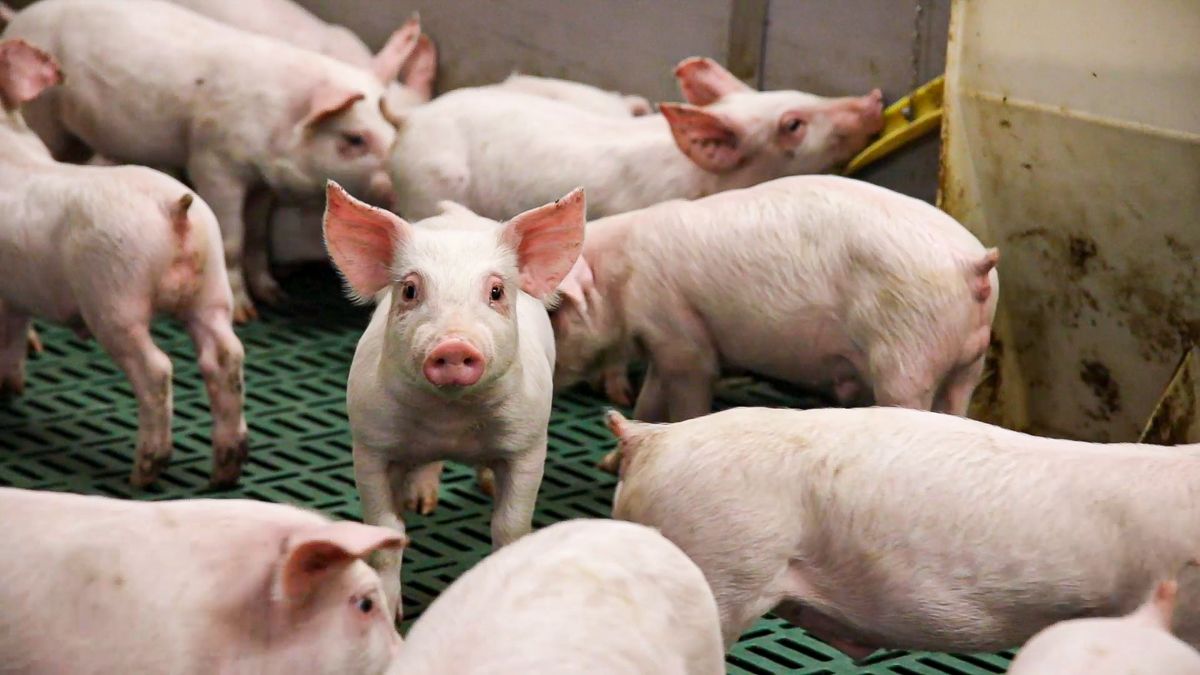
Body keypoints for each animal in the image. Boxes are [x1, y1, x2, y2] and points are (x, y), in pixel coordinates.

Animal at [0, 39, 246, 487]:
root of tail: (174, 210)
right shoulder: (16, 290)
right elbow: (14, 332)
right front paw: (10, 387)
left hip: (115, 296)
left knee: (156, 369)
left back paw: (143, 472)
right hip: (212, 287)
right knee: (225, 357)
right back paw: (225, 471)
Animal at [3, 0, 403, 322]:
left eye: (391, 126)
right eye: (354, 139)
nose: (393, 187)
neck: (275, 121)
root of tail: (22, 17)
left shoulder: (261, 185)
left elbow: (258, 235)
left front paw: (275, 296)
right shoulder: (214, 162)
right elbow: (233, 240)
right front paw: (246, 315)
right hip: (43, 116)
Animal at [322, 181, 585, 620]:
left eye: (496, 291)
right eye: (410, 290)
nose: (454, 345)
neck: (449, 422)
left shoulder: (529, 442)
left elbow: (510, 526)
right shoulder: (371, 441)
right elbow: (386, 530)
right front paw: (393, 613)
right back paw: (423, 502)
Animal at [550, 175, 999, 429]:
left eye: (555, 312)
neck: (623, 277)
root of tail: (970, 265)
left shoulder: (678, 329)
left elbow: (691, 391)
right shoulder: (663, 345)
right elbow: (649, 400)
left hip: (908, 352)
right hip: (969, 362)